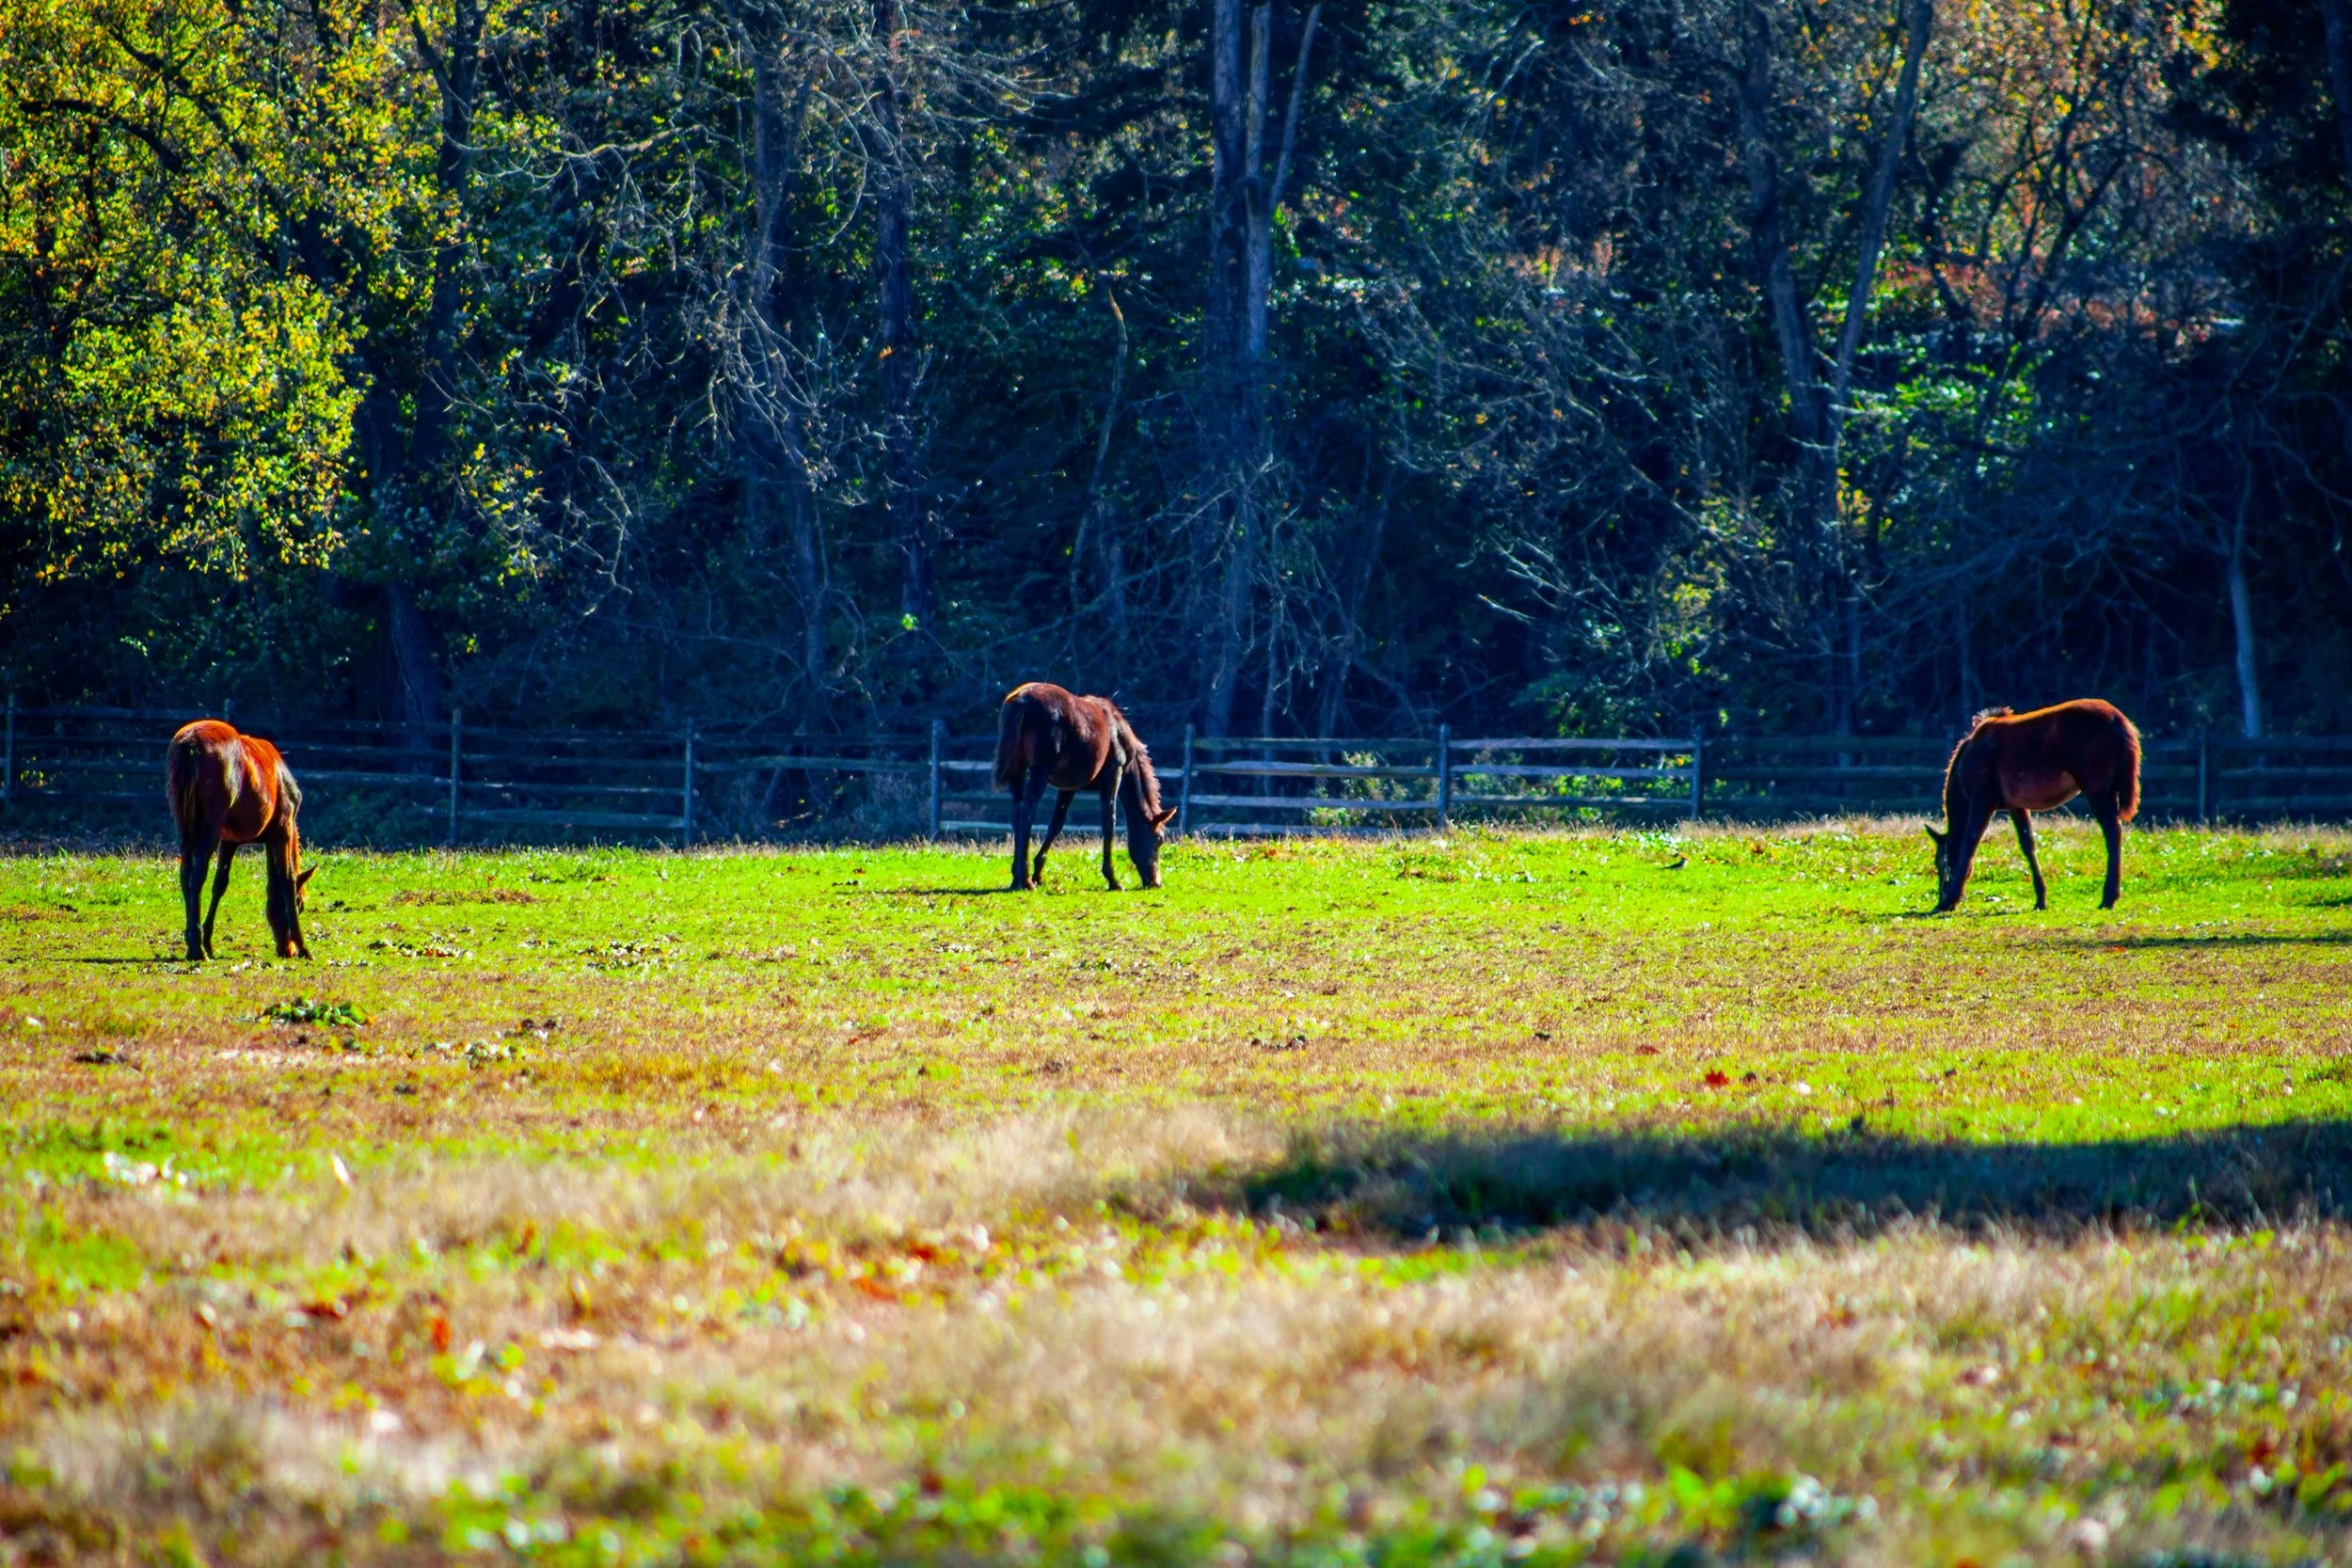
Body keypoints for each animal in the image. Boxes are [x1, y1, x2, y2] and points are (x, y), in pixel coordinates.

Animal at [166, 720, 313, 961]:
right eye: (300, 905)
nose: (287, 950)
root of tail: (190, 745)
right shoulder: (282, 830)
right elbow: (286, 878)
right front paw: (304, 947)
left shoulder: (230, 840)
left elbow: (220, 884)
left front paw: (209, 940)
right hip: (210, 828)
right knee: (197, 876)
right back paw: (197, 948)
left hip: (184, 825)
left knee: (185, 873)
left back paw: (193, 943)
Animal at [992, 682, 1177, 890]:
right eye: (1159, 839)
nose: (1155, 882)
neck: (1119, 734)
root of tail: (1021, 701)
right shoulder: (1114, 773)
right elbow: (1109, 822)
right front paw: (1113, 879)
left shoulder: (1069, 786)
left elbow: (1057, 824)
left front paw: (1039, 872)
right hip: (1040, 770)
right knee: (1027, 812)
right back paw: (1025, 879)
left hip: (1019, 769)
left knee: (1016, 811)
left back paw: (1017, 876)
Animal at [1926, 699, 2141, 913]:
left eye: (1940, 864)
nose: (1941, 896)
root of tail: (2119, 721)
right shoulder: (2016, 805)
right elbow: (2028, 844)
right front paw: (2041, 898)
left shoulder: (1981, 800)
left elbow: (1970, 845)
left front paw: (1950, 899)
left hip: (2096, 788)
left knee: (2112, 832)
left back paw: (2109, 897)